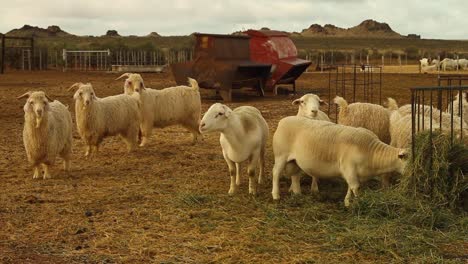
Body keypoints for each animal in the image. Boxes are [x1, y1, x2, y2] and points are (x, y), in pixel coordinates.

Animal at [272, 117, 408, 206]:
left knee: (295, 176)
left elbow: (350, 187)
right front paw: (358, 203)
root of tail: (282, 121)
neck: (371, 152)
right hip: (280, 155)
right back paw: (276, 195)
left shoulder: (352, 173)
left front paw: (347, 201)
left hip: (294, 161)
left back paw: (297, 194)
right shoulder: (349, 168)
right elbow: (355, 187)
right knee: (276, 173)